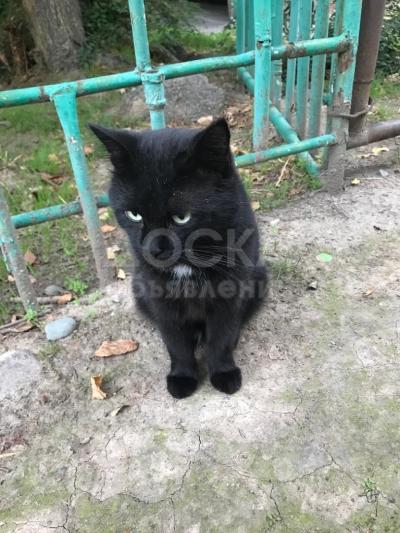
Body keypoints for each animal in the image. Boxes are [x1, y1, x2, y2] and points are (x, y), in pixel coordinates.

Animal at [90, 118, 267, 399]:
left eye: (182, 218)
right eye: (134, 215)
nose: (153, 249)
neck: (187, 265)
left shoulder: (231, 291)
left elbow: (222, 335)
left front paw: (224, 372)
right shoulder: (158, 295)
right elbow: (175, 341)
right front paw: (182, 377)